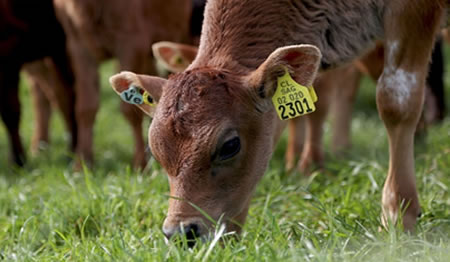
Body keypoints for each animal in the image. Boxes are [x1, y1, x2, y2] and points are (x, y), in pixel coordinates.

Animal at [110, 0, 446, 239]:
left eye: (230, 146)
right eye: (156, 151)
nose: (181, 233)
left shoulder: (414, 10)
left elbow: (395, 99)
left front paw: (398, 214)